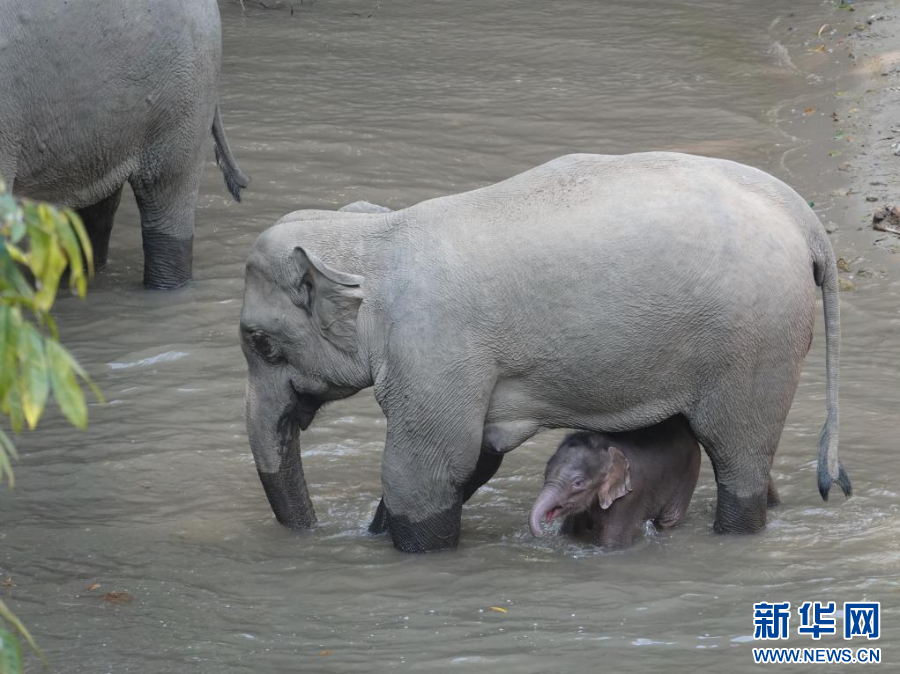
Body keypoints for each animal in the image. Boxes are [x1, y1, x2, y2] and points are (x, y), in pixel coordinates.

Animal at [529, 417, 701, 548]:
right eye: (545, 473)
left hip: (689, 473)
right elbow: (570, 529)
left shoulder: (630, 496)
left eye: (578, 483)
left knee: (669, 520)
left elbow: (613, 542)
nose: (541, 533)